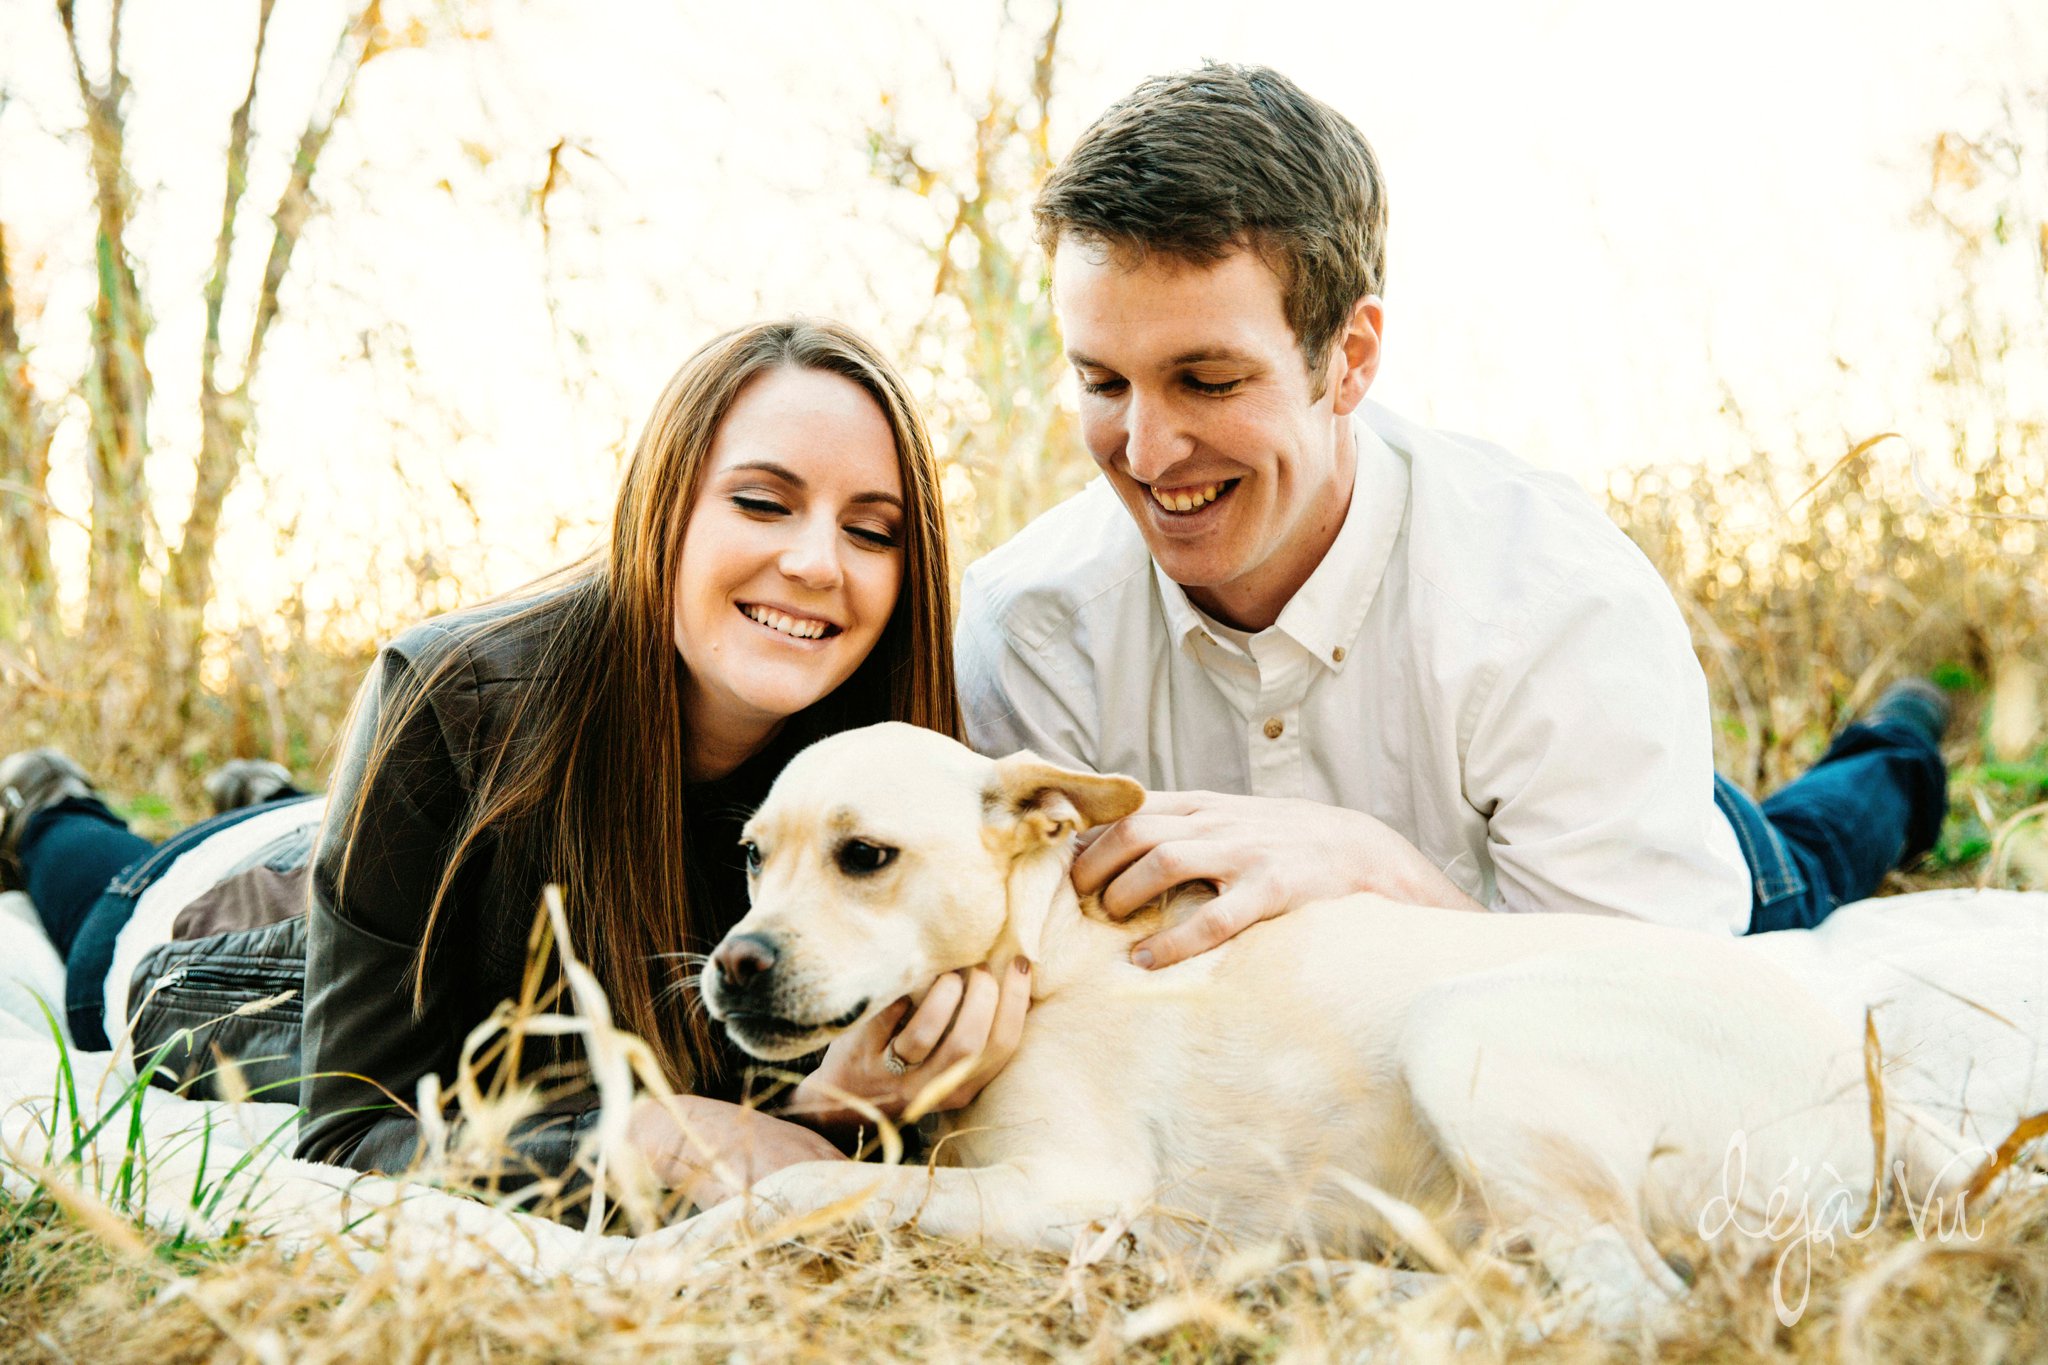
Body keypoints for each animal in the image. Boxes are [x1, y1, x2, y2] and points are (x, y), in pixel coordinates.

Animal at [688, 724, 1998, 1326]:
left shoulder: (1069, 1192)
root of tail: (1868, 1077)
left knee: (1626, 1304)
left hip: (1467, 1034)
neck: (1046, 941)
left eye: (866, 857)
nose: (731, 967)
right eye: (751, 858)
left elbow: (789, 1189)